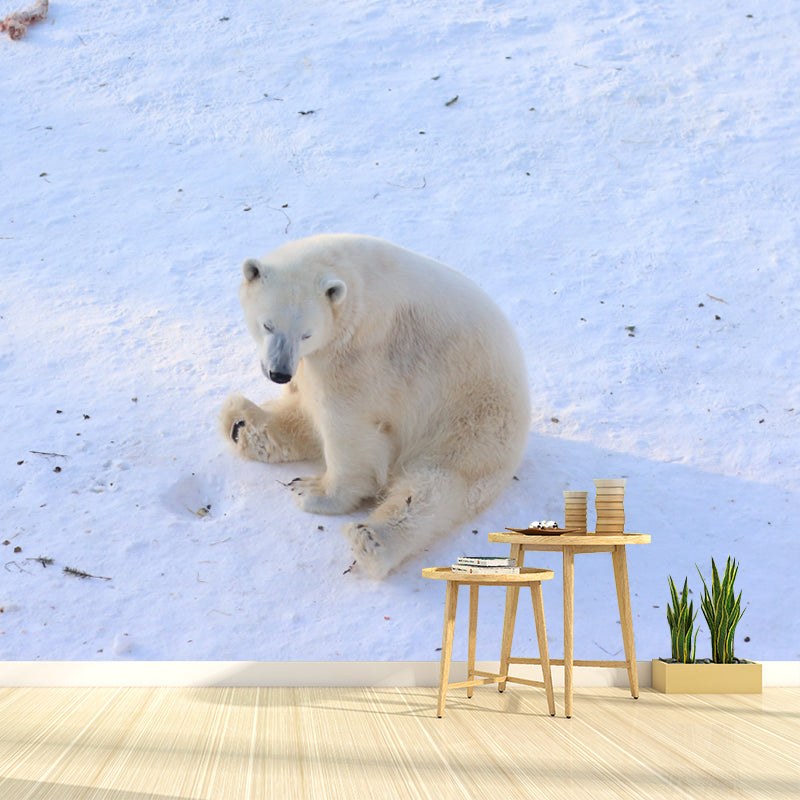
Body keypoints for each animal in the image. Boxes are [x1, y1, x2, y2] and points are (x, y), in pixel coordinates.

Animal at [219, 234, 530, 579]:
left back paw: (370, 539)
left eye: (306, 333)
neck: (353, 283)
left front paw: (317, 494)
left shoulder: (362, 354)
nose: (279, 373)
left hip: (471, 424)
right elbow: (308, 402)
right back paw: (240, 424)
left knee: (436, 487)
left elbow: (348, 427)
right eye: (268, 325)